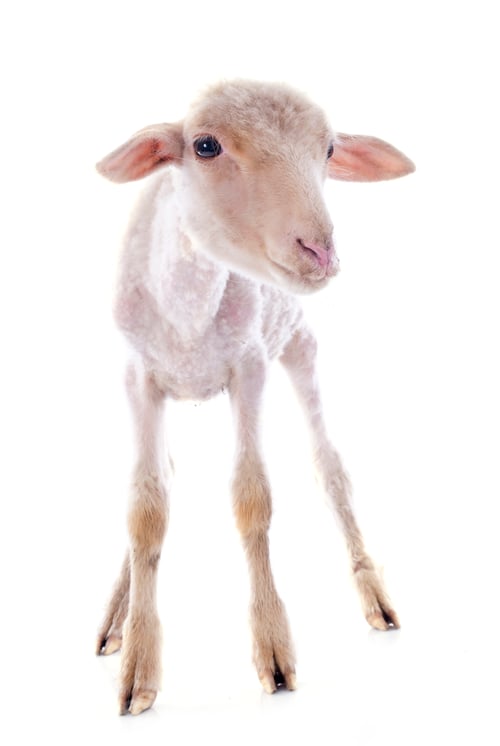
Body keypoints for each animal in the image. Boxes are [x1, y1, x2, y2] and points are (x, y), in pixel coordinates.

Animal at [95, 79, 415, 716]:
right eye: (205, 145)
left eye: (330, 149)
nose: (320, 251)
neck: (187, 315)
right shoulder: (138, 376)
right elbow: (145, 509)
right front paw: (138, 666)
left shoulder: (251, 364)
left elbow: (252, 498)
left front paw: (274, 653)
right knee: (164, 474)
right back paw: (117, 615)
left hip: (299, 343)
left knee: (330, 466)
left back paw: (375, 596)